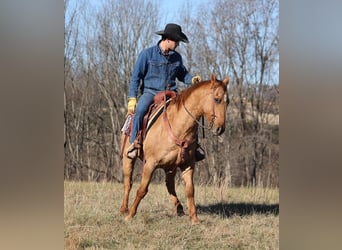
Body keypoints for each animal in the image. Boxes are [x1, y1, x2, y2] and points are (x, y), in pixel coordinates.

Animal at [120, 73, 230, 225]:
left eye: (228, 101)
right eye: (217, 99)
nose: (220, 129)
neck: (179, 127)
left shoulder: (188, 165)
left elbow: (190, 190)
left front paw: (194, 218)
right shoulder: (150, 164)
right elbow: (142, 189)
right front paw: (130, 215)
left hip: (170, 167)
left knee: (169, 185)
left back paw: (179, 209)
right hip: (127, 159)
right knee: (128, 183)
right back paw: (124, 209)